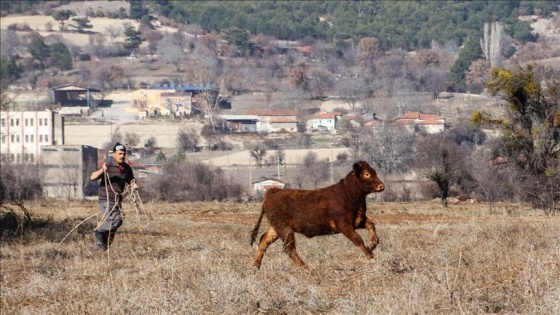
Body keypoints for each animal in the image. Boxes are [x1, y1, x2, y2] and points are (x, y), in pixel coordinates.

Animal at [250, 163, 384, 270]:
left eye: (374, 172)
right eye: (366, 174)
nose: (382, 186)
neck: (349, 194)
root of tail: (273, 192)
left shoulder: (358, 220)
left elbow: (371, 225)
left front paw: (372, 244)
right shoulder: (344, 224)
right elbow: (357, 239)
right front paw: (370, 255)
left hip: (276, 228)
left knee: (264, 241)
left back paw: (256, 266)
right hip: (284, 229)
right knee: (288, 248)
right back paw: (305, 267)